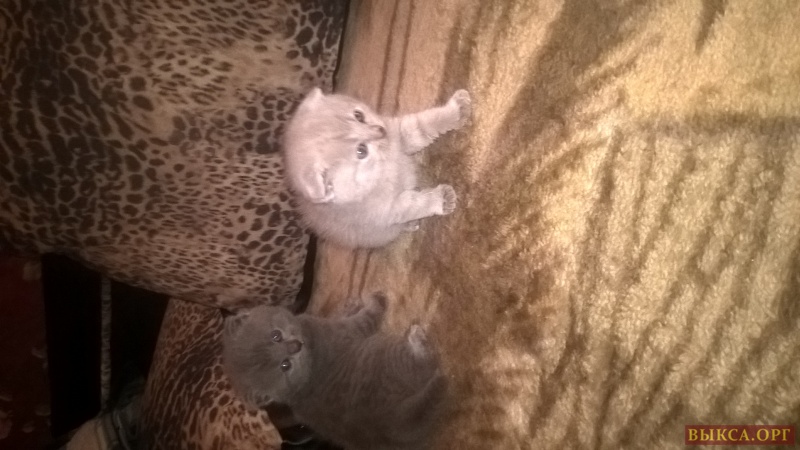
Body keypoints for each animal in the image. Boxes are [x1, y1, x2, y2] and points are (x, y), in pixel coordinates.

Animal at [222, 292, 447, 450]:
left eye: (275, 335)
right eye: (285, 366)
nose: (296, 346)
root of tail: (391, 423)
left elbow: (341, 314)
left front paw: (350, 304)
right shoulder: (344, 332)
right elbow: (365, 319)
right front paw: (377, 301)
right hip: (389, 358)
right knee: (426, 364)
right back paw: (418, 338)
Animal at [282, 88, 471, 248]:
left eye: (358, 115)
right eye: (361, 151)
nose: (381, 131)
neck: (385, 165)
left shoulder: (398, 131)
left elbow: (423, 124)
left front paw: (455, 111)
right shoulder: (388, 210)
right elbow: (416, 204)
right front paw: (441, 199)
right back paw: (410, 224)